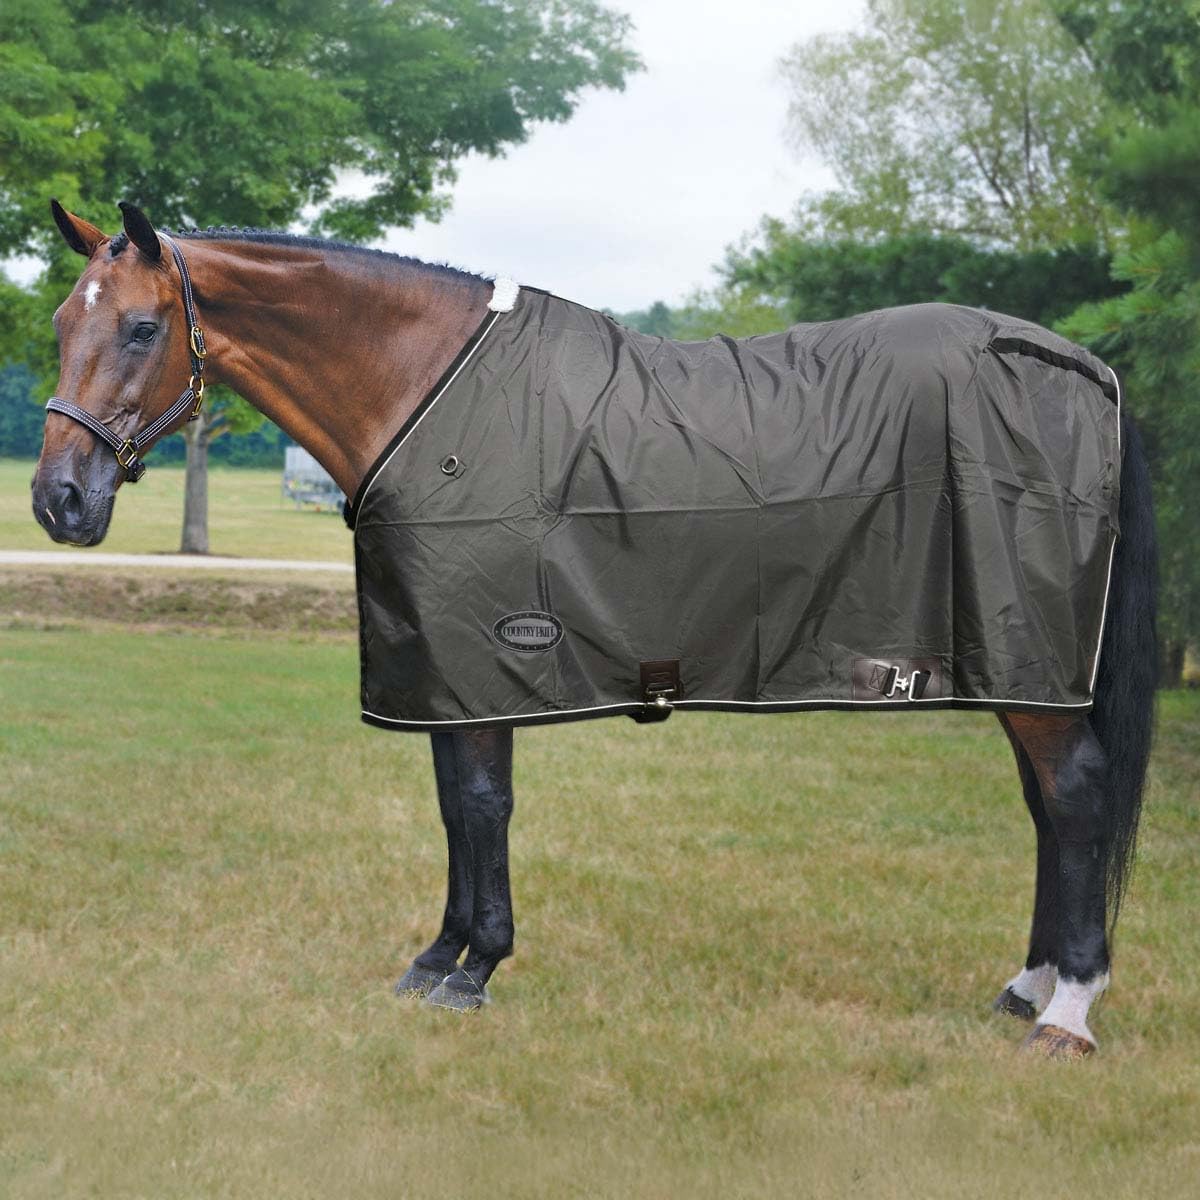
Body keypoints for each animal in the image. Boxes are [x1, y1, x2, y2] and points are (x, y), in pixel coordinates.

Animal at [31, 201, 1157, 1060]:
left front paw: (475, 968)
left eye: (141, 329)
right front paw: (438, 957)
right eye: (56, 323)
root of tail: (1084, 372)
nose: (58, 502)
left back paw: (1066, 1015)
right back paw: (1026, 985)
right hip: (1017, 672)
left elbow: (483, 807)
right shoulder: (443, 669)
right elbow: (455, 809)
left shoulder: (485, 656)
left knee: (1075, 797)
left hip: (1030, 666)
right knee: (1048, 809)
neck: (427, 394)